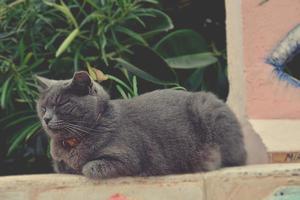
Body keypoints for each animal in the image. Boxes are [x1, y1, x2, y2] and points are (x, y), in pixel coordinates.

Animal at [35, 71, 246, 179]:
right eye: (43, 107)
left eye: (62, 104)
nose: (46, 118)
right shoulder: (59, 163)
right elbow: (62, 166)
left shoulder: (128, 158)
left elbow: (89, 167)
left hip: (207, 110)